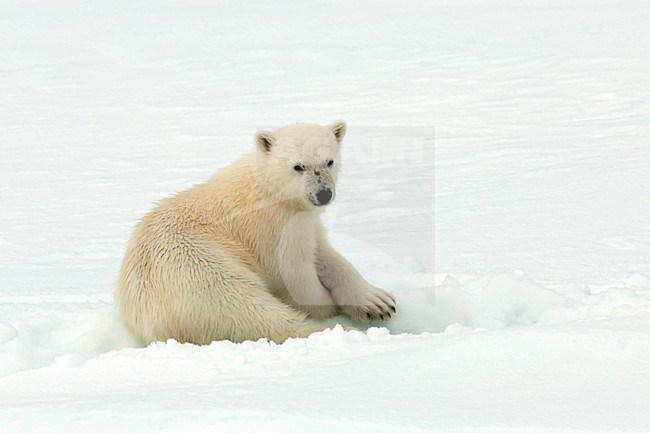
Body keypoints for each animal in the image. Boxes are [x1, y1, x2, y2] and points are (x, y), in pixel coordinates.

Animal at [116, 120, 394, 344]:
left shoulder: (304, 219)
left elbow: (324, 252)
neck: (269, 189)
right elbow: (296, 274)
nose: (323, 194)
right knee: (253, 310)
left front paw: (377, 302)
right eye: (298, 166)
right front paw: (330, 306)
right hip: (199, 269)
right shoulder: (274, 229)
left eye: (329, 161)